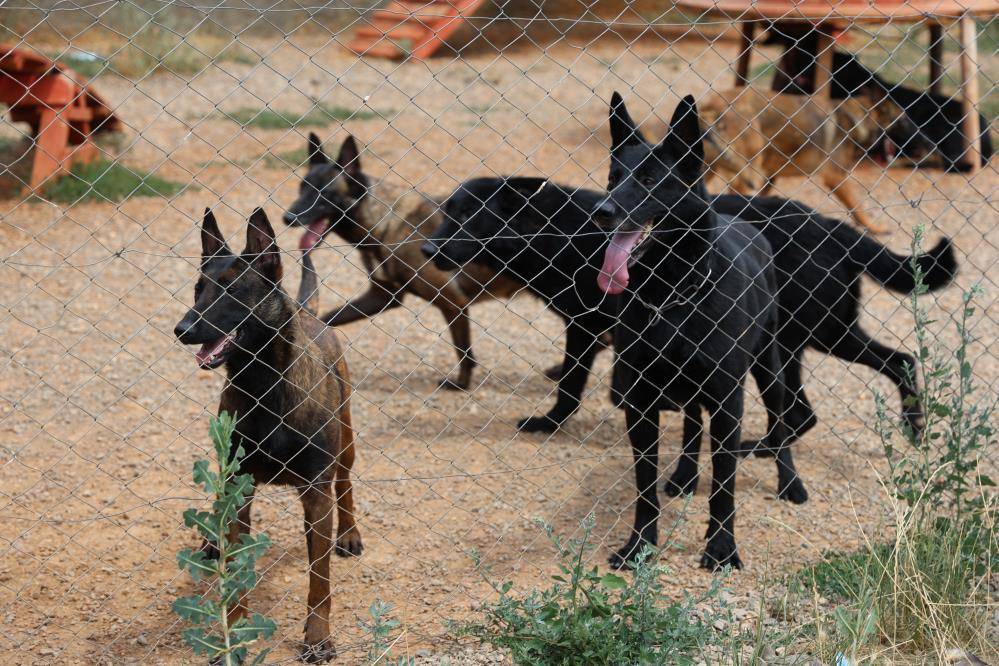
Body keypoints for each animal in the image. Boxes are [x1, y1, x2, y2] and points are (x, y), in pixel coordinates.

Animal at [176, 206, 364, 660]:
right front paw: (236, 632)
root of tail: (311, 315)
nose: (182, 328)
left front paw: (318, 637)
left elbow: (319, 579)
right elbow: (237, 567)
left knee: (346, 481)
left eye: (231, 290)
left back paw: (349, 533)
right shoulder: (239, 486)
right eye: (199, 289)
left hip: (346, 439)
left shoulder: (315, 493)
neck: (264, 387)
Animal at [282, 132, 516, 386]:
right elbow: (327, 319)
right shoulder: (381, 297)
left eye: (323, 193)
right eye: (302, 188)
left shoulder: (453, 303)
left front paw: (461, 385)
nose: (287, 218)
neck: (387, 224)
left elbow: (463, 352)